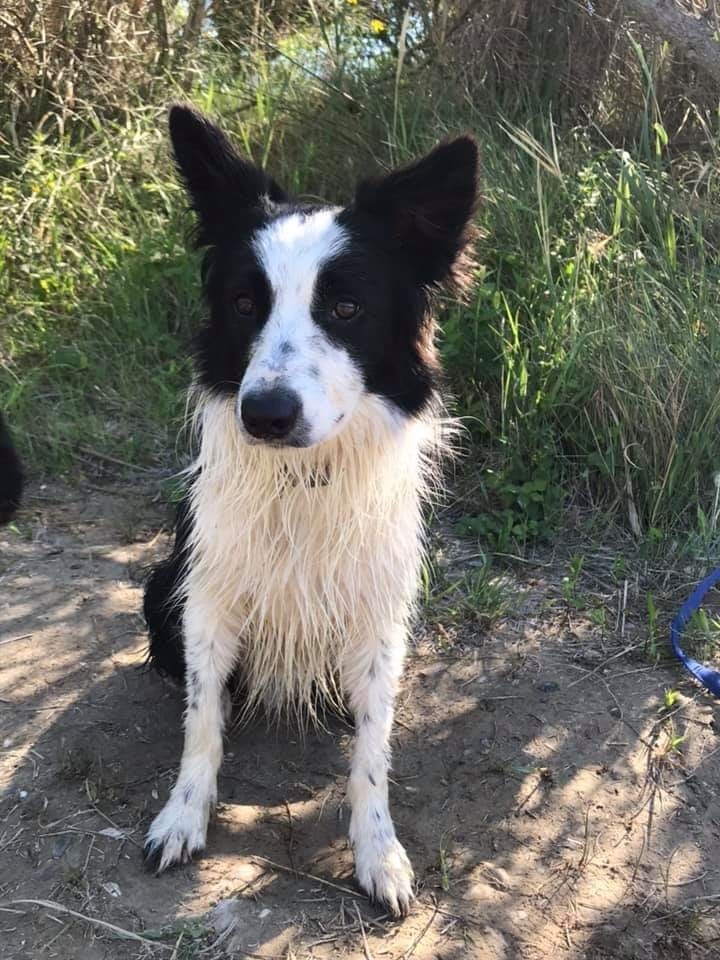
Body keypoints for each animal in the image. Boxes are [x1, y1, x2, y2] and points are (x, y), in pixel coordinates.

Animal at [142, 105, 478, 916]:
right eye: (244, 305)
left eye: (347, 307)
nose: (264, 415)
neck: (305, 479)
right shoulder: (207, 597)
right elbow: (202, 722)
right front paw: (183, 815)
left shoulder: (379, 613)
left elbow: (372, 753)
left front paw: (377, 850)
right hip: (159, 586)